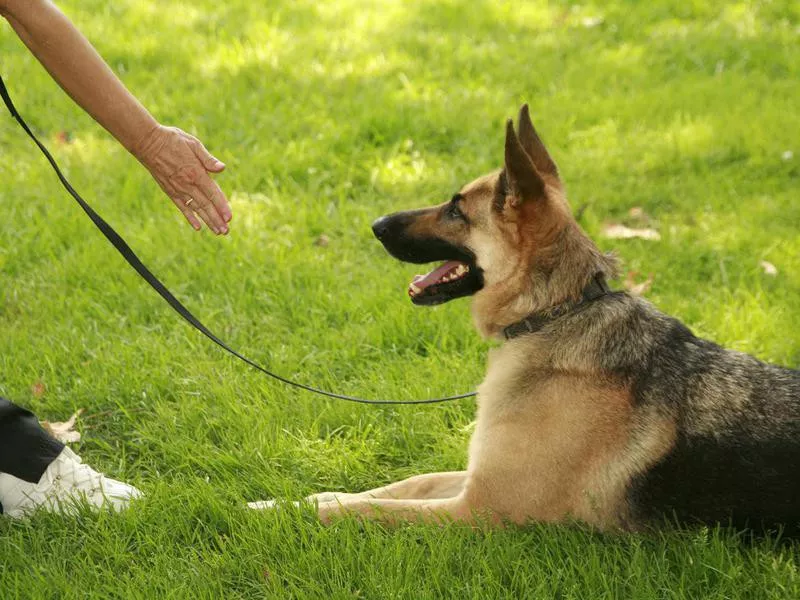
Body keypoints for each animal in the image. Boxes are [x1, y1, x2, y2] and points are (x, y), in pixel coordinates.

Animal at [253, 105, 800, 532]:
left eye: (456, 211)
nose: (375, 224)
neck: (554, 313)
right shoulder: (476, 478)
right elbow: (404, 483)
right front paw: (296, 496)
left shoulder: (479, 509)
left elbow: (364, 511)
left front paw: (276, 511)